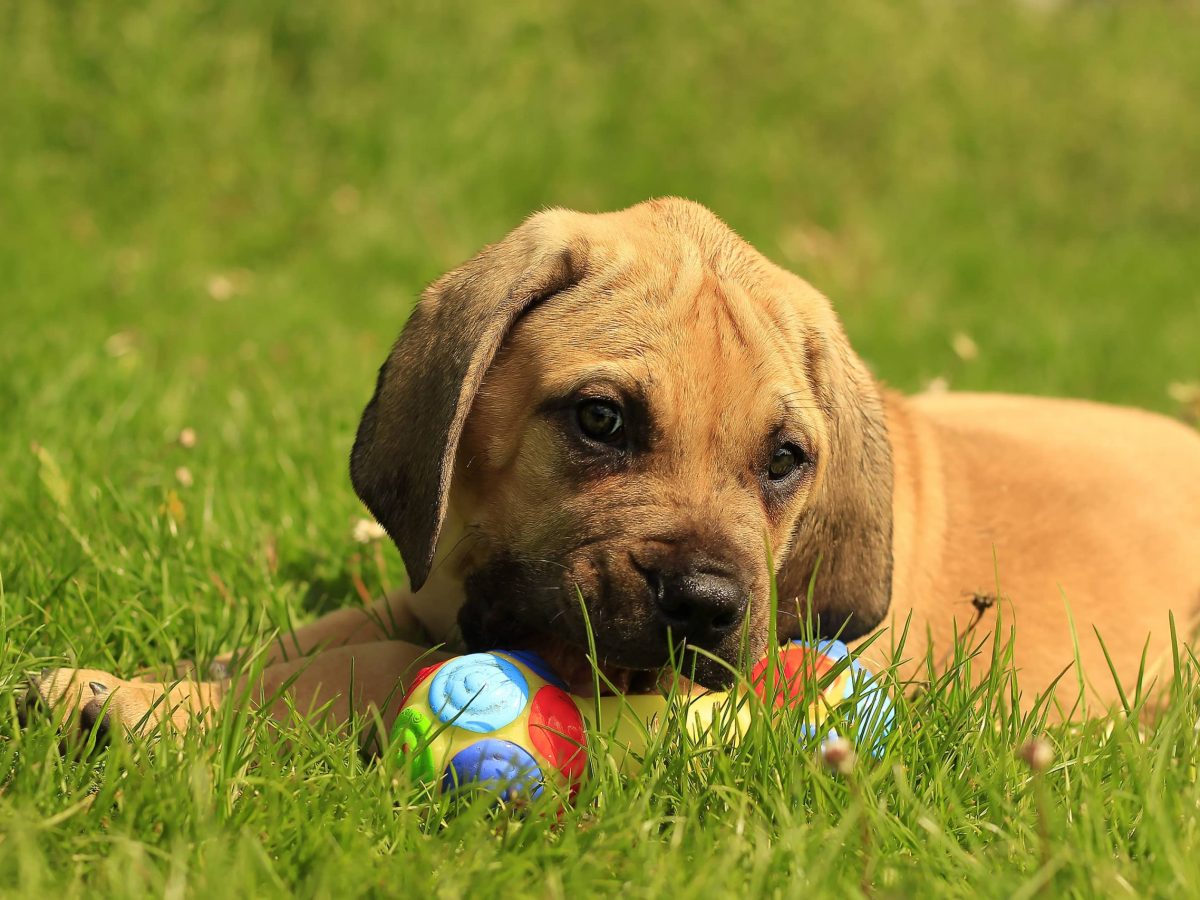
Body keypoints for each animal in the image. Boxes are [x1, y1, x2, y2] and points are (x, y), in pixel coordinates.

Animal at [25, 199, 1200, 739]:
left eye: (786, 461)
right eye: (601, 420)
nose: (707, 608)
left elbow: (349, 671)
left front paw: (151, 709)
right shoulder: (429, 596)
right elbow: (300, 639)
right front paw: (165, 677)